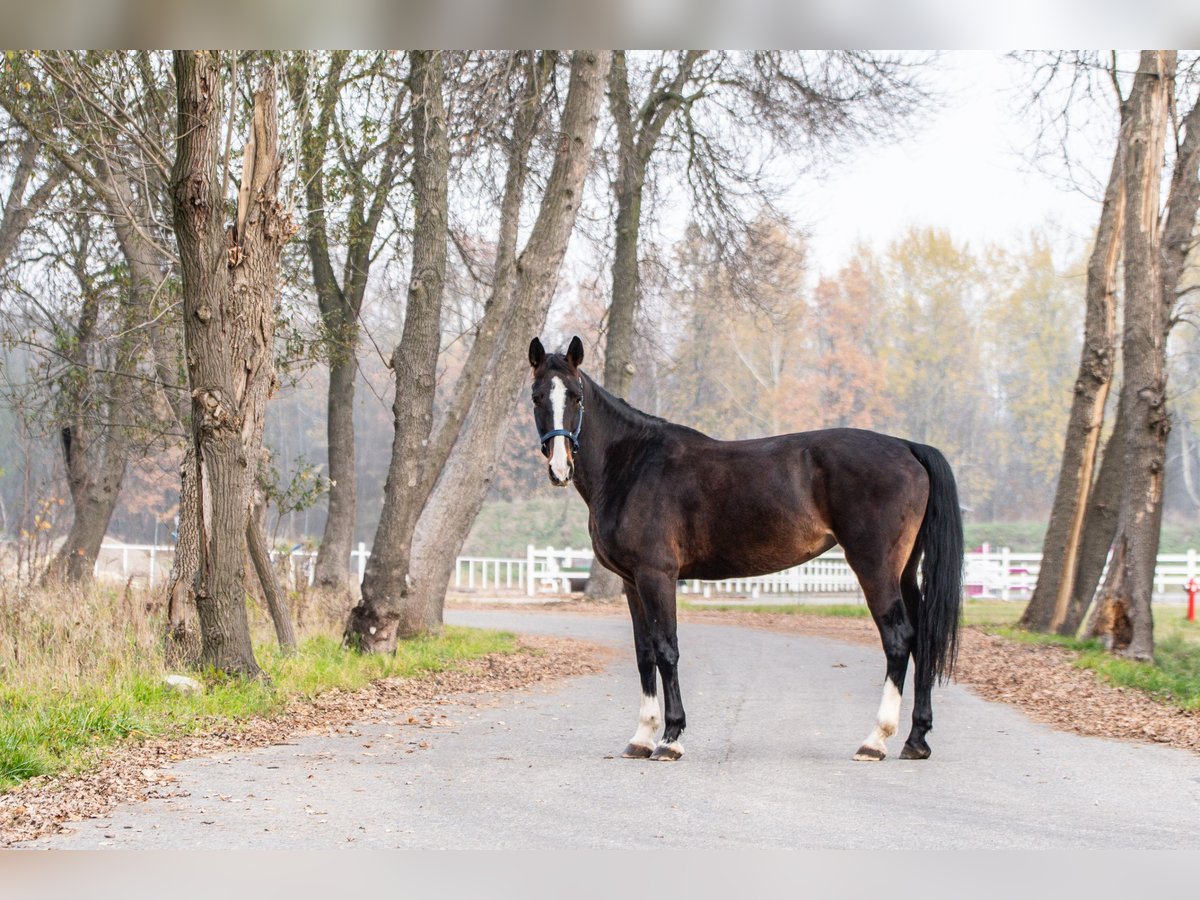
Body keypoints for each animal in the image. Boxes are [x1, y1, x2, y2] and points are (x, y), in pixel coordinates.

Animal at [530, 336, 960, 763]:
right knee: (922, 637)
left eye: (575, 396)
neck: (633, 464)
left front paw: (671, 738)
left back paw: (876, 740)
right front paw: (642, 737)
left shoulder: (657, 575)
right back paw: (916, 740)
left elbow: (667, 649)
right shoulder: (632, 582)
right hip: (905, 571)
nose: (560, 468)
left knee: (899, 638)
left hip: (875, 568)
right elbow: (644, 653)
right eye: (537, 397)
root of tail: (907, 446)